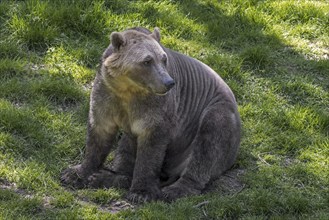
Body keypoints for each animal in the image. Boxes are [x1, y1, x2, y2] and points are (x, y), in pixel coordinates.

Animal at [60, 26, 241, 202]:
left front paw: (141, 192)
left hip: (216, 114)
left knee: (208, 143)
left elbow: (151, 147)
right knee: (126, 147)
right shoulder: (106, 94)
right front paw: (74, 174)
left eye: (163, 59)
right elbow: (99, 132)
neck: (127, 89)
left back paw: (176, 190)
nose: (169, 82)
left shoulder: (156, 108)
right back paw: (104, 177)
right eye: (147, 61)